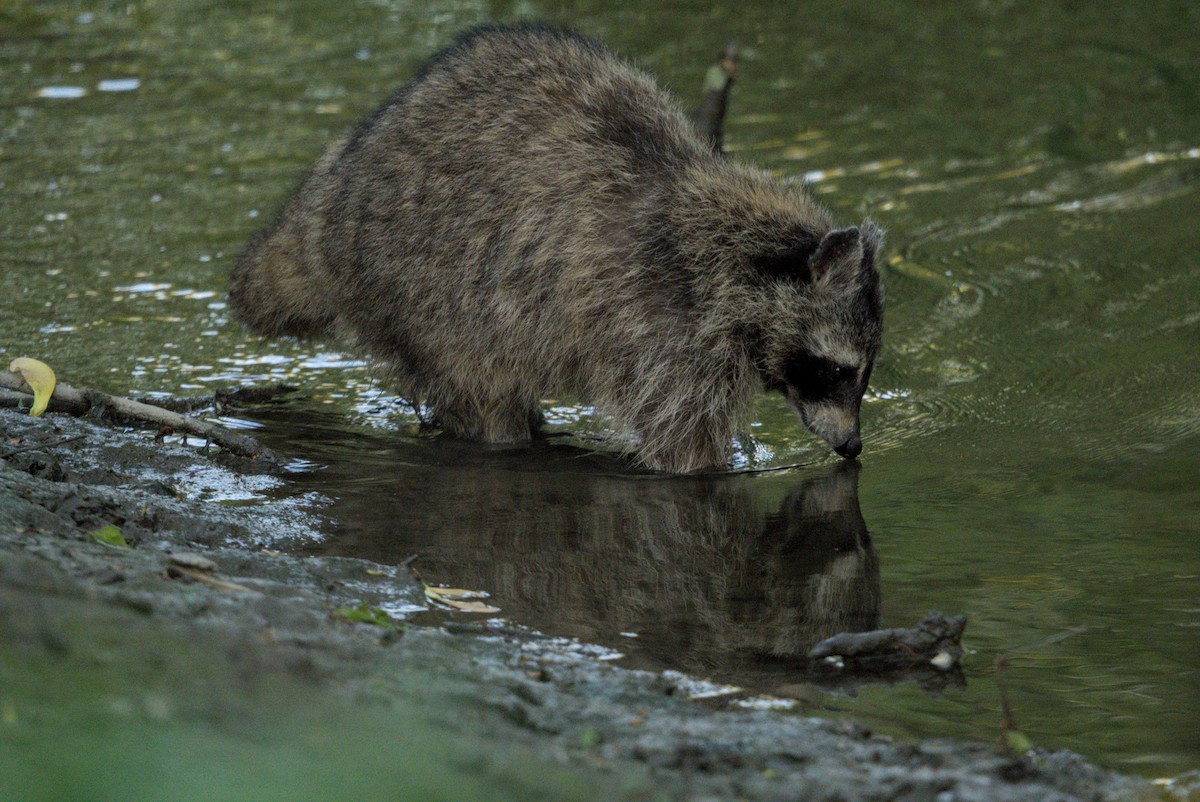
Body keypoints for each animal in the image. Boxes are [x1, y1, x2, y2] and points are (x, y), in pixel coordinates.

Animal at [229, 24, 884, 473]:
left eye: (863, 371)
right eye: (837, 369)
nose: (854, 446)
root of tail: (326, 203)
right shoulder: (661, 321)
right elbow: (680, 443)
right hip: (417, 286)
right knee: (478, 386)